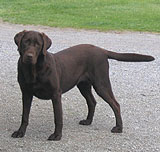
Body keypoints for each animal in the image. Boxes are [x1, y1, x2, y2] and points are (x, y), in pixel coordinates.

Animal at [11, 30, 155, 141]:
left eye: (38, 44)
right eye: (25, 42)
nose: (29, 56)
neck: (33, 70)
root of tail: (102, 50)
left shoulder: (56, 94)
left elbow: (58, 117)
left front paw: (57, 135)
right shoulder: (26, 93)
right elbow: (24, 116)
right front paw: (20, 132)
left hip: (101, 84)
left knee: (115, 104)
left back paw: (118, 128)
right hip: (84, 85)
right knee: (92, 102)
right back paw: (88, 121)